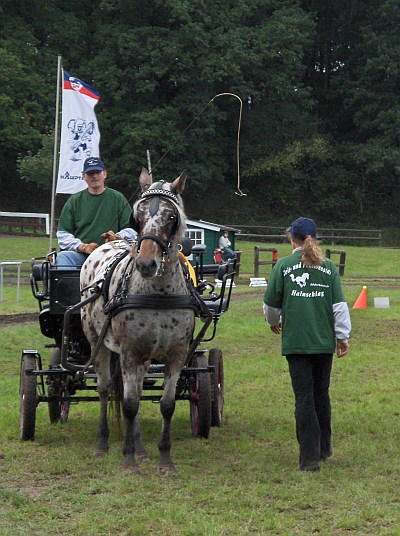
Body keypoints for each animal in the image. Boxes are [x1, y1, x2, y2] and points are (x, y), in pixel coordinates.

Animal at [80, 169, 197, 474]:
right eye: (138, 215)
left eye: (171, 216)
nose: (146, 264)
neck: (159, 294)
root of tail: (108, 243)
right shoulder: (129, 352)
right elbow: (130, 404)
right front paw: (129, 460)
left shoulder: (176, 354)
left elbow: (166, 405)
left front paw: (164, 459)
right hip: (98, 343)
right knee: (105, 390)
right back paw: (103, 443)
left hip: (144, 357)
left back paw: (142, 448)